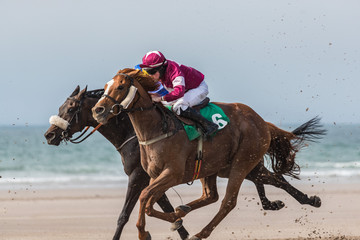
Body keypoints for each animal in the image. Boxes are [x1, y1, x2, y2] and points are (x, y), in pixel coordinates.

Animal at [45, 85, 324, 239]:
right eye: (61, 107)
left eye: (71, 108)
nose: (49, 135)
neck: (134, 132)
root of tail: (260, 121)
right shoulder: (154, 176)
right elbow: (162, 206)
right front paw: (179, 224)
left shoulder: (139, 177)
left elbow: (125, 215)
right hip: (230, 166)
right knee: (270, 179)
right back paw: (296, 201)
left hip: (239, 163)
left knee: (241, 193)